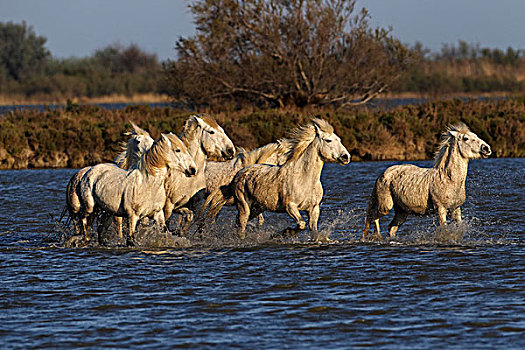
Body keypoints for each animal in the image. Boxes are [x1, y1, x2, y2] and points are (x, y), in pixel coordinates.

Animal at [204, 117, 348, 241]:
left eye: (339, 139)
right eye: (328, 140)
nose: (346, 157)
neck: (304, 178)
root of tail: (239, 174)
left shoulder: (314, 208)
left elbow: (313, 230)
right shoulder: (290, 206)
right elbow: (301, 224)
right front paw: (284, 233)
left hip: (257, 208)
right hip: (243, 206)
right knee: (241, 225)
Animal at [362, 123, 490, 241]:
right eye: (465, 138)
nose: (486, 149)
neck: (448, 179)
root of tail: (383, 173)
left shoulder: (455, 209)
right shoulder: (441, 209)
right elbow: (443, 229)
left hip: (402, 211)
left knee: (391, 227)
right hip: (386, 206)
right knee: (372, 217)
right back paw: (375, 237)